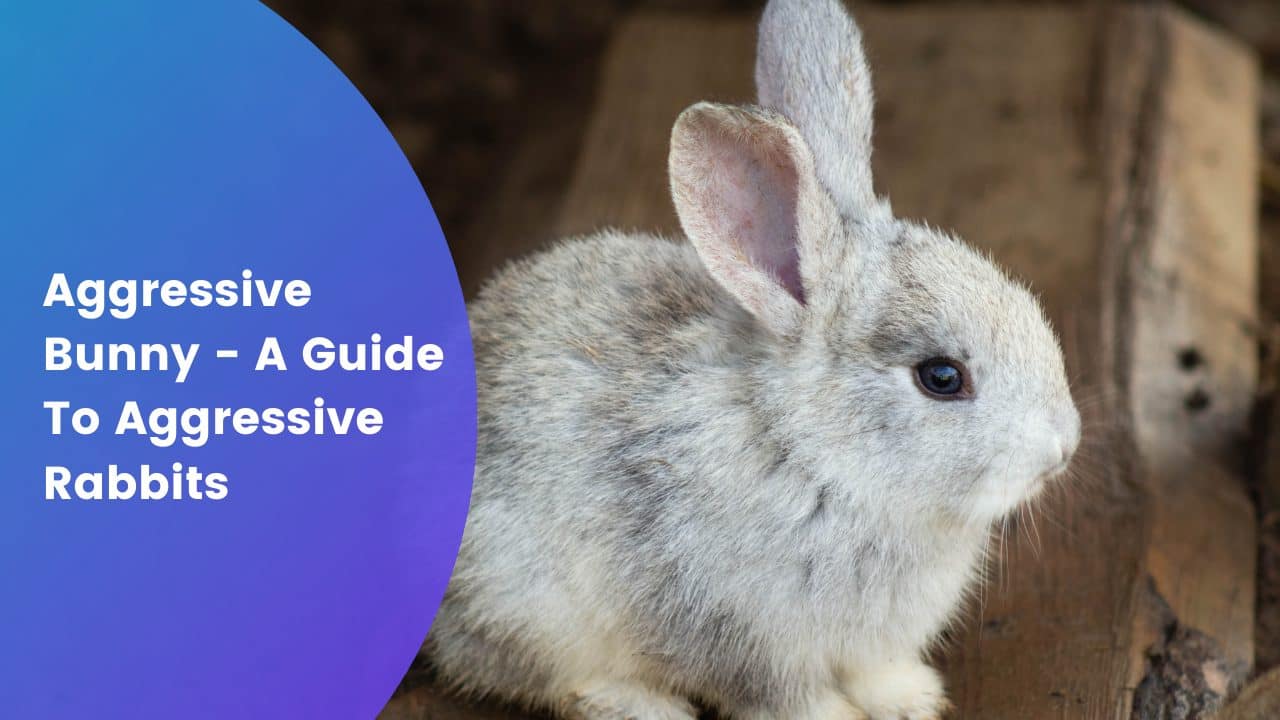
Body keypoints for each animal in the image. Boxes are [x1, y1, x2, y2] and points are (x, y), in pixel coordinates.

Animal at [423, 0, 1081, 717]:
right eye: (942, 377)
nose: (1063, 447)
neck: (813, 454)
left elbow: (875, 670)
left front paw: (913, 698)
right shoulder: (737, 634)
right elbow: (783, 695)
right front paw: (843, 716)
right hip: (529, 606)